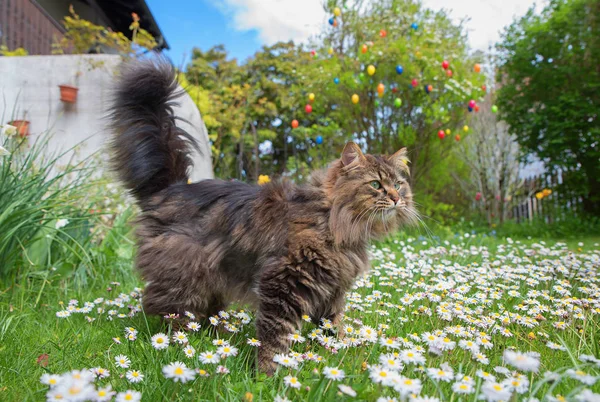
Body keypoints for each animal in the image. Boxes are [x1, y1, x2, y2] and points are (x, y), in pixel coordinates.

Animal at [109, 58, 418, 376]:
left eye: (399, 184)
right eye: (376, 184)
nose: (397, 198)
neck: (334, 221)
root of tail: (174, 187)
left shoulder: (332, 288)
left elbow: (332, 324)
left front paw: (339, 350)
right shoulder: (283, 280)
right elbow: (276, 334)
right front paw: (268, 372)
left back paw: (216, 335)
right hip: (185, 276)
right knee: (166, 310)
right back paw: (183, 342)